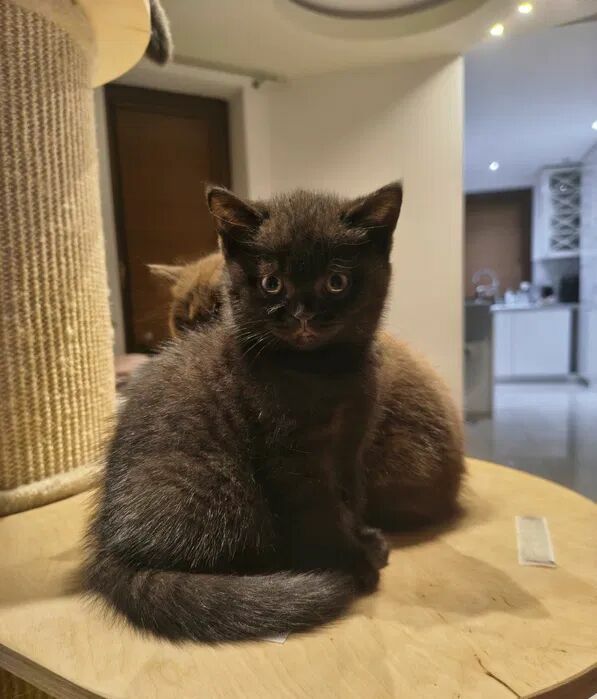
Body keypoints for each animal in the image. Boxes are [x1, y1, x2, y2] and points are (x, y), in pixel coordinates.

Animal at [85, 182, 418, 643]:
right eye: (271, 283)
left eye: (336, 281)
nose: (302, 315)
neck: (324, 372)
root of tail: (110, 552)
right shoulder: (290, 460)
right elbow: (320, 511)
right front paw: (350, 562)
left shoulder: (351, 446)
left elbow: (350, 498)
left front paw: (364, 538)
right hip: (222, 486)